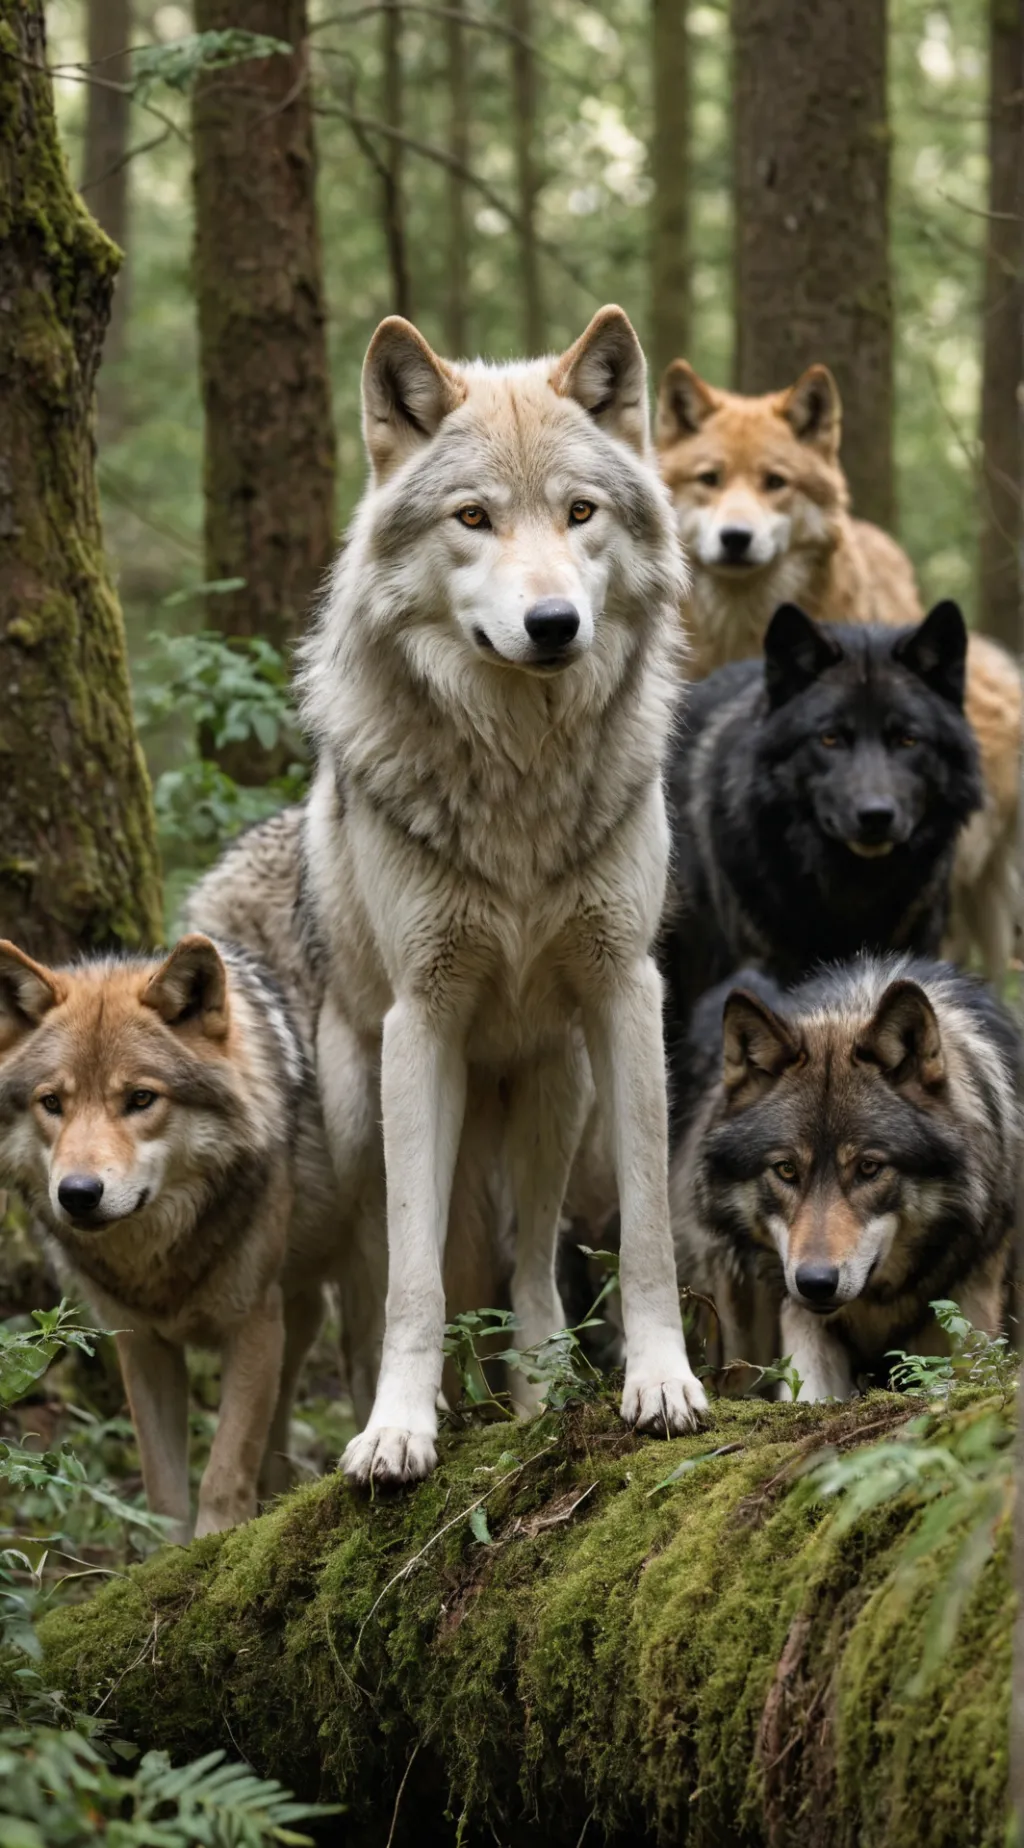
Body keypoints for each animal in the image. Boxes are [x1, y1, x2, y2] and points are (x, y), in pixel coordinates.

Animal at [0, 924, 337, 1541]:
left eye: (140, 1099)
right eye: (52, 1103)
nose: (78, 1193)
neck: (156, 1262)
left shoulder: (253, 1325)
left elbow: (222, 1475)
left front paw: (218, 1552)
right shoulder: (141, 1345)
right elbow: (162, 1494)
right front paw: (169, 1557)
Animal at [299, 305, 707, 1487]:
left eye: (579, 512)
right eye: (473, 517)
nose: (555, 622)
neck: (520, 780)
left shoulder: (624, 993)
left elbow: (648, 1237)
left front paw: (661, 1383)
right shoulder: (422, 1021)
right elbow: (414, 1282)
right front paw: (397, 1430)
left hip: (556, 1094)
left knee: (529, 1272)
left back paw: (538, 1402)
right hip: (367, 1118)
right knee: (390, 1276)